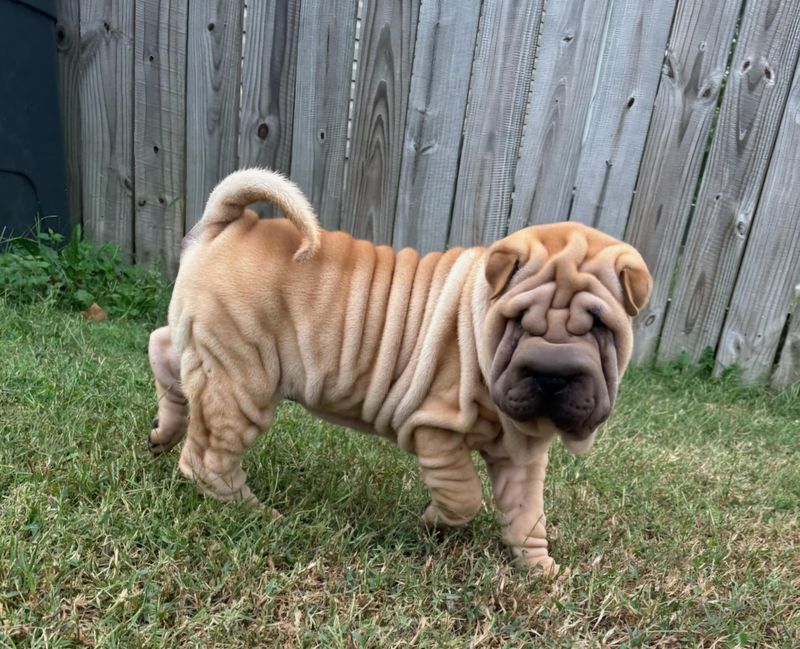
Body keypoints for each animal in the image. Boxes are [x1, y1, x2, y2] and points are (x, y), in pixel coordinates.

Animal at [147, 168, 652, 572]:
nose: (551, 373)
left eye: (599, 327)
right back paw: (255, 512)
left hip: (206, 347)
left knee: (165, 354)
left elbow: (527, 516)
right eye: (519, 322)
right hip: (242, 375)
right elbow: (464, 495)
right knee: (207, 456)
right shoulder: (434, 429)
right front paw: (433, 523)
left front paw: (541, 571)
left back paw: (162, 433)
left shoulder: (523, 455)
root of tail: (229, 222)